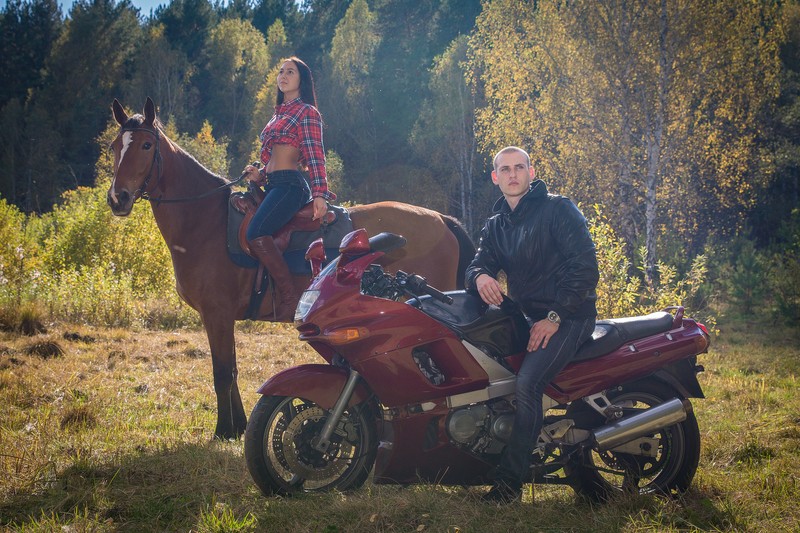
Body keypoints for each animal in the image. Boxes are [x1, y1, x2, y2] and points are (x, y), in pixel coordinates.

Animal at [103, 97, 472, 438]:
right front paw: (237, 427)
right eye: (114, 146)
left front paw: (224, 430)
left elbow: (222, 373)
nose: (117, 198)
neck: (206, 222)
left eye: (146, 145)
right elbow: (231, 370)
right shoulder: (222, 317)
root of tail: (442, 219)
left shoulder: (216, 314)